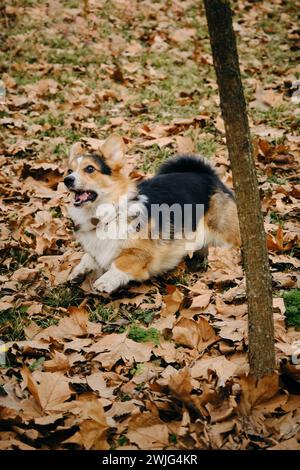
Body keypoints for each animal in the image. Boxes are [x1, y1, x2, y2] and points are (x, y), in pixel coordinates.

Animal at [64, 134, 240, 292]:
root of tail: (205, 174)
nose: (67, 179)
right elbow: (88, 256)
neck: (105, 216)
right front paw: (78, 271)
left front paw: (105, 281)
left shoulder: (144, 253)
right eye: (69, 170)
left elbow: (120, 262)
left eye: (90, 169)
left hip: (225, 236)